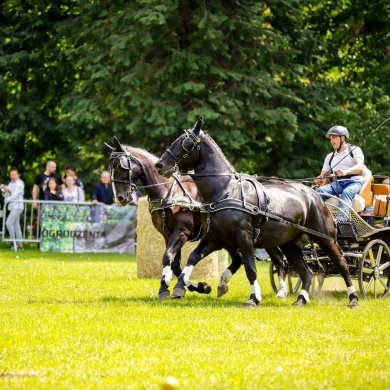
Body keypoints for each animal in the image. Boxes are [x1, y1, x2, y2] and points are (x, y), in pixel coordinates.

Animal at [105, 136, 212, 298]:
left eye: (120, 165)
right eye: (110, 168)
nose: (120, 198)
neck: (168, 191)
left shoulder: (182, 231)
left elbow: (167, 257)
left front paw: (171, 286)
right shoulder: (167, 234)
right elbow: (174, 264)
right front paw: (197, 286)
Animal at [155, 117, 360, 306]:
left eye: (185, 143)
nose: (159, 165)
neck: (225, 190)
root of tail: (314, 195)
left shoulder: (244, 236)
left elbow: (250, 268)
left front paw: (254, 298)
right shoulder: (214, 238)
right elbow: (192, 257)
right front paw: (182, 287)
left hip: (325, 238)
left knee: (341, 265)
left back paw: (353, 298)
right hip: (289, 244)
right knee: (305, 271)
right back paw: (301, 298)